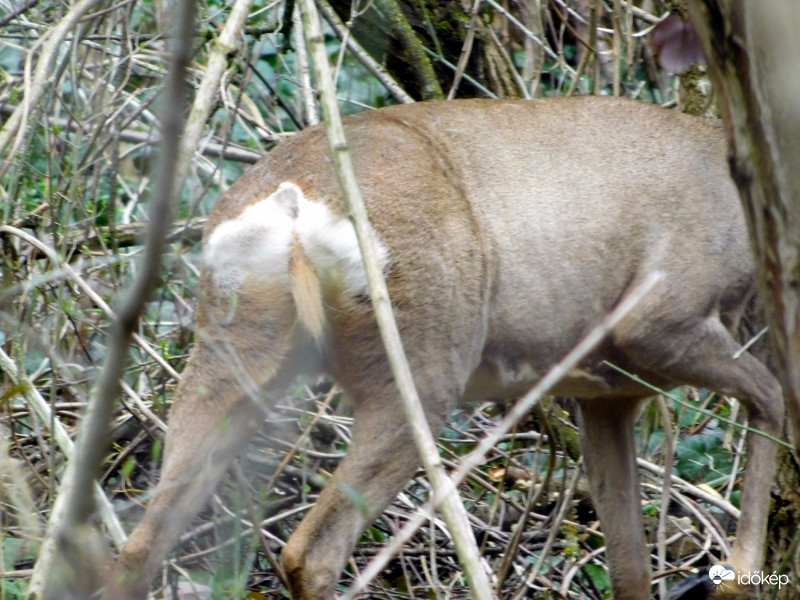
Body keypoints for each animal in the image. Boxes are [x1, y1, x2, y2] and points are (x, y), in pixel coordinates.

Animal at [103, 98, 784, 600]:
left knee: (140, 545)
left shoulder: (607, 394)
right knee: (311, 551)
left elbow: (629, 566)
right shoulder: (661, 315)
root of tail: (294, 201)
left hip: (231, 349)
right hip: (422, 363)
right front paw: (740, 574)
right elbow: (772, 397)